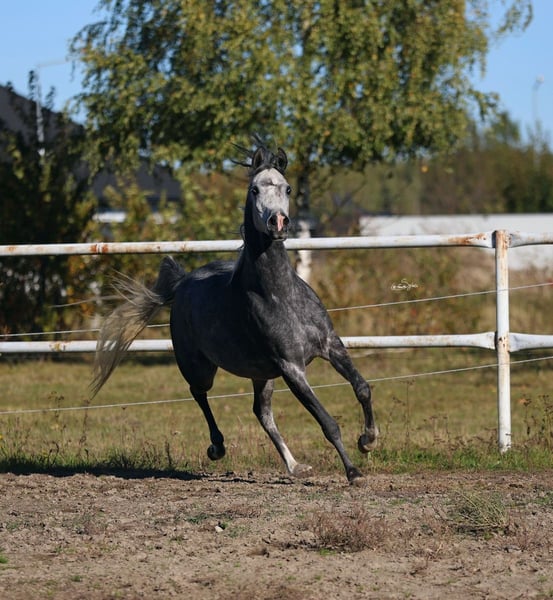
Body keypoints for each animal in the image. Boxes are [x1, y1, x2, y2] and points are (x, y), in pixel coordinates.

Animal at [91, 140, 378, 484]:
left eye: (287, 188)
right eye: (254, 189)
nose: (278, 223)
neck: (280, 295)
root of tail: (183, 282)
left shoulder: (331, 345)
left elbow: (362, 388)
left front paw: (368, 440)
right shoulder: (291, 368)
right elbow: (328, 422)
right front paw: (354, 471)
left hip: (261, 373)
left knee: (262, 412)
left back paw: (295, 466)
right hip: (199, 366)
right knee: (199, 393)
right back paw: (217, 447)